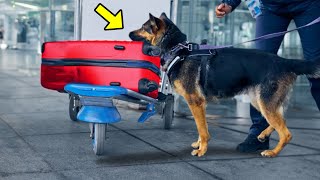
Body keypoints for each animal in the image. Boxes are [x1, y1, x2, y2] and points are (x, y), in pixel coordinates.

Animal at [129, 12, 320, 157]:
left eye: (144, 28)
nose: (130, 33)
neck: (178, 49)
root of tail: (284, 61)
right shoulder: (199, 105)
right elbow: (201, 127)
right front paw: (199, 144)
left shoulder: (195, 102)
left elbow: (202, 129)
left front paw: (202, 150)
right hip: (260, 101)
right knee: (279, 120)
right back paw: (262, 135)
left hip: (265, 103)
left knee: (286, 133)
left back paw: (272, 152)